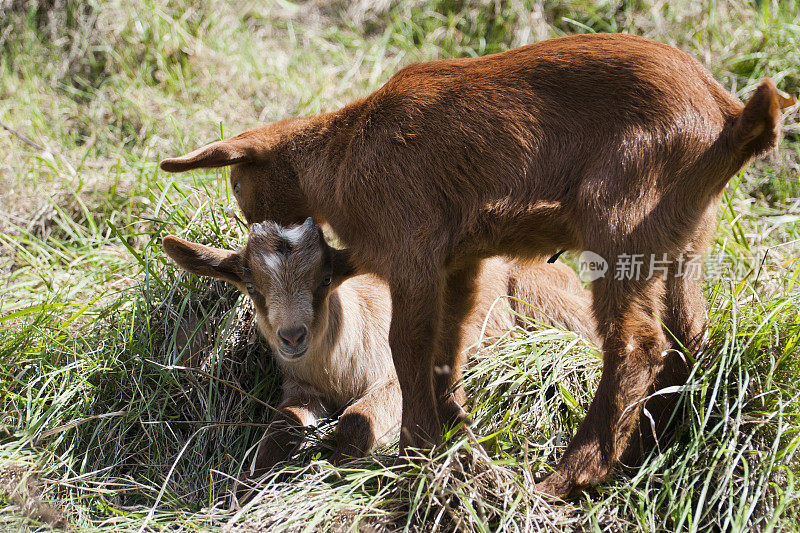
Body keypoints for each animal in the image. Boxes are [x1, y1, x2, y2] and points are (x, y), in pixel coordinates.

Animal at [164, 218, 600, 492]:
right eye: (252, 287)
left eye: (325, 279)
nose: (292, 336)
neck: (336, 369)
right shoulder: (301, 387)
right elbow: (282, 428)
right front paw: (247, 489)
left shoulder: (397, 375)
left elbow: (356, 419)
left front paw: (330, 474)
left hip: (544, 296)